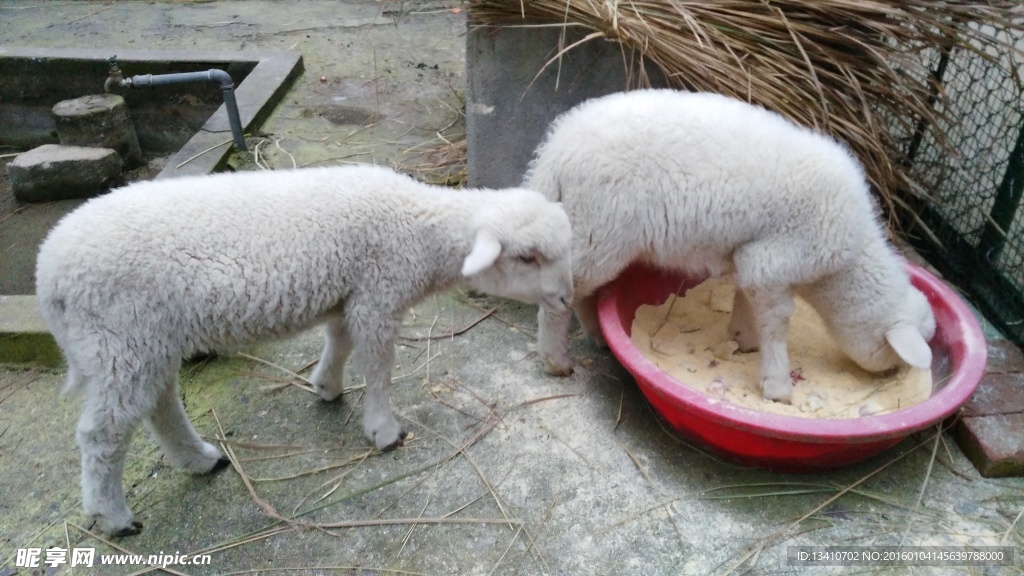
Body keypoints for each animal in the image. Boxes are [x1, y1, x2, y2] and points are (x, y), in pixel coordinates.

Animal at [36, 163, 573, 537]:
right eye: (527, 257)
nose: (568, 298)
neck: (419, 232)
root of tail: (48, 272)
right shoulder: (379, 293)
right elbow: (379, 364)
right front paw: (384, 430)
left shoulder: (348, 294)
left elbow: (339, 341)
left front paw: (326, 386)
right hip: (119, 338)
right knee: (102, 435)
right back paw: (113, 516)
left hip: (145, 342)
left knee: (159, 404)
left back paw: (200, 459)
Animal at [528, 89, 937, 401]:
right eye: (893, 357)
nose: (893, 382)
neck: (845, 264)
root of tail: (556, 149)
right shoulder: (775, 257)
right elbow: (777, 320)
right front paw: (777, 385)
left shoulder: (754, 259)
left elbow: (747, 296)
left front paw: (743, 339)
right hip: (601, 227)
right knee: (561, 296)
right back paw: (556, 360)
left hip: (591, 232)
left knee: (580, 291)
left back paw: (596, 335)